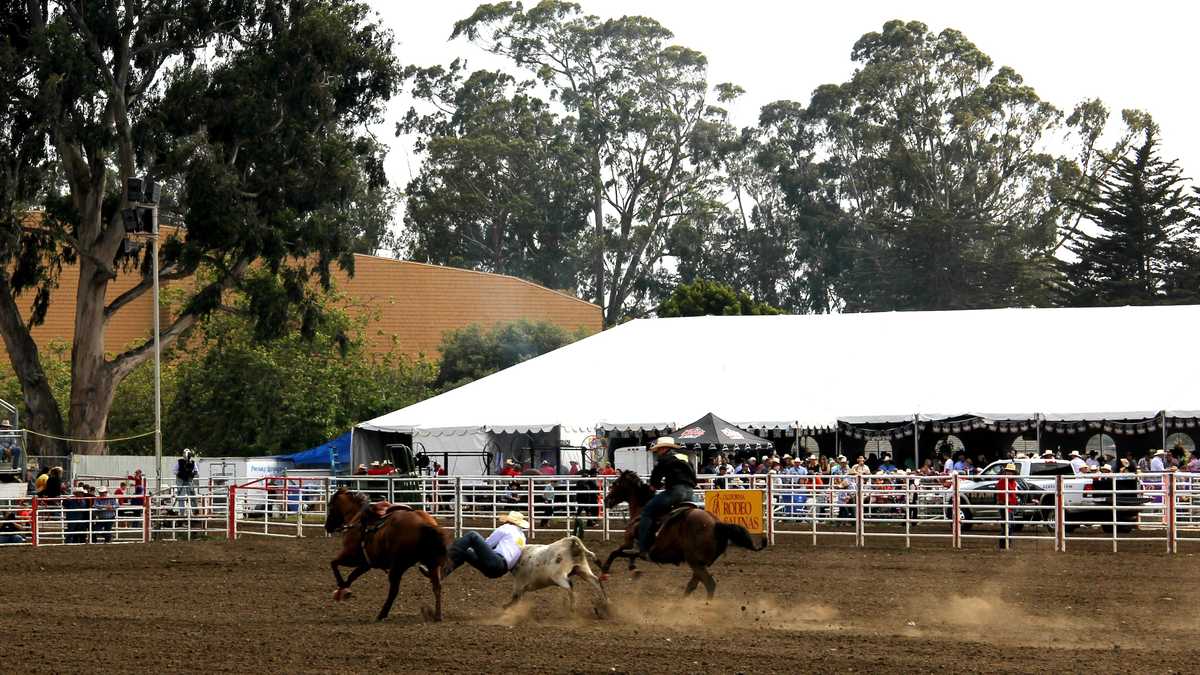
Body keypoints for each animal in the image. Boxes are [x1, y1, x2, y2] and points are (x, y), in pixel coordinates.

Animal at [321, 482, 448, 619]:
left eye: (330, 506)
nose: (327, 527)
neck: (357, 519)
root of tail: (424, 524)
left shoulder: (352, 557)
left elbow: (333, 563)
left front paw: (341, 585)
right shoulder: (366, 564)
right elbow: (352, 576)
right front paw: (344, 589)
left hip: (398, 566)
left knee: (394, 590)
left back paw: (382, 614)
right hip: (431, 563)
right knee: (437, 587)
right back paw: (437, 615)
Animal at [604, 470, 763, 595]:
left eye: (616, 483)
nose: (606, 500)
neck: (640, 510)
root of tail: (717, 524)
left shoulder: (630, 543)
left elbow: (615, 552)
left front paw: (606, 569)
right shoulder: (631, 545)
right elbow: (623, 553)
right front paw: (634, 569)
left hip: (695, 562)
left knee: (709, 584)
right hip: (699, 563)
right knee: (693, 584)